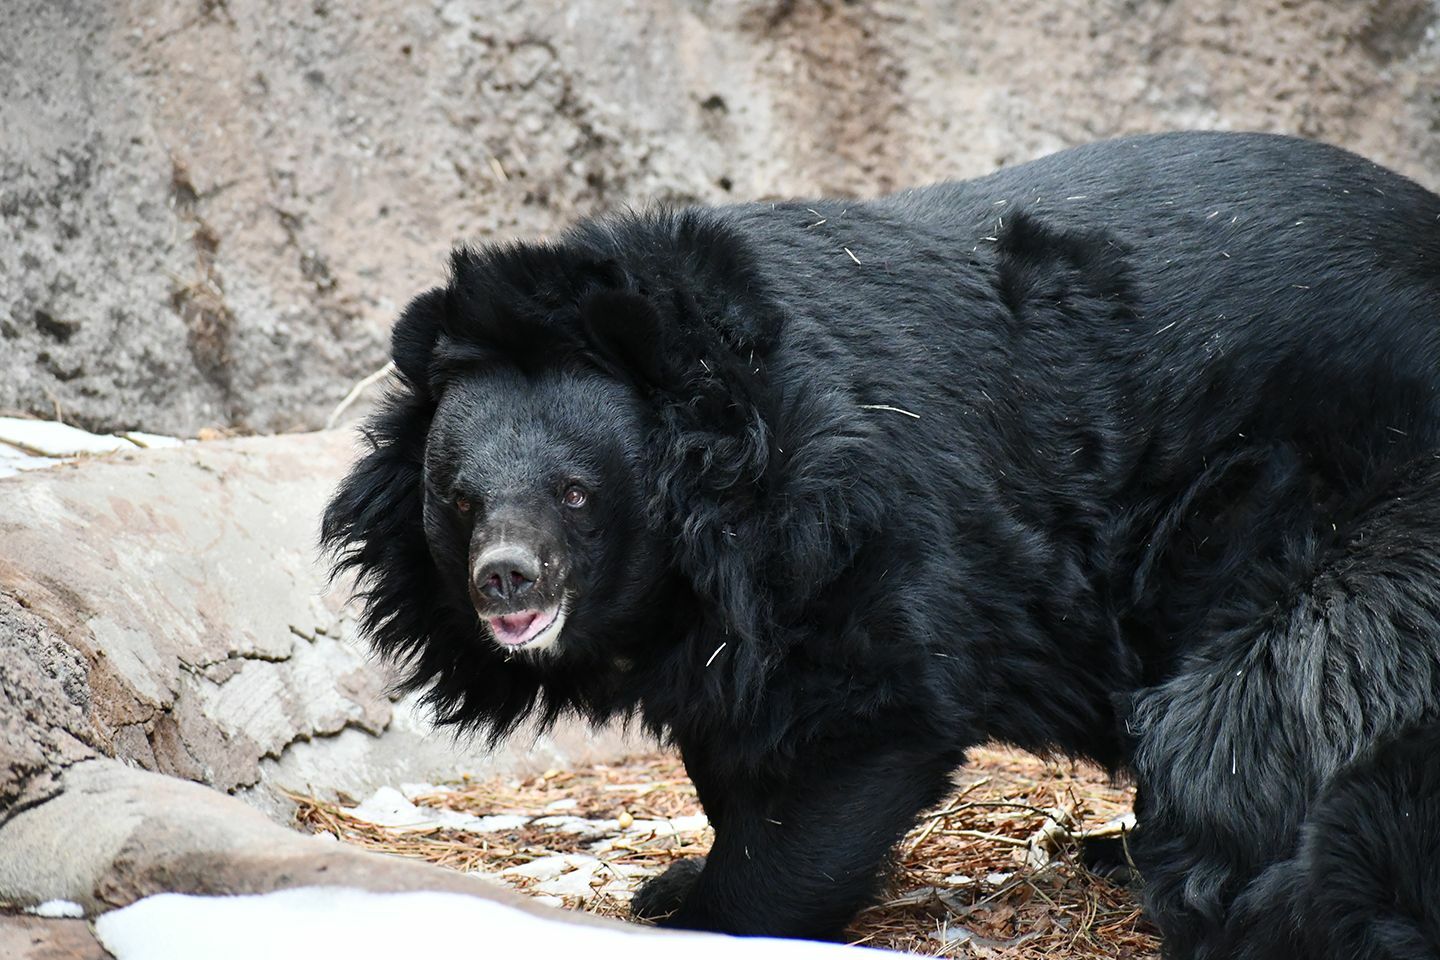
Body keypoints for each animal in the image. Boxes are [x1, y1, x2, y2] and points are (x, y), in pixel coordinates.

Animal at [326, 131, 1440, 955]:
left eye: (574, 494)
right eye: (459, 500)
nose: (505, 580)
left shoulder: (850, 521)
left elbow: (861, 720)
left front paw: (712, 912)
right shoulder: (716, 621)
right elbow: (734, 738)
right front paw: (679, 879)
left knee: (1261, 703)